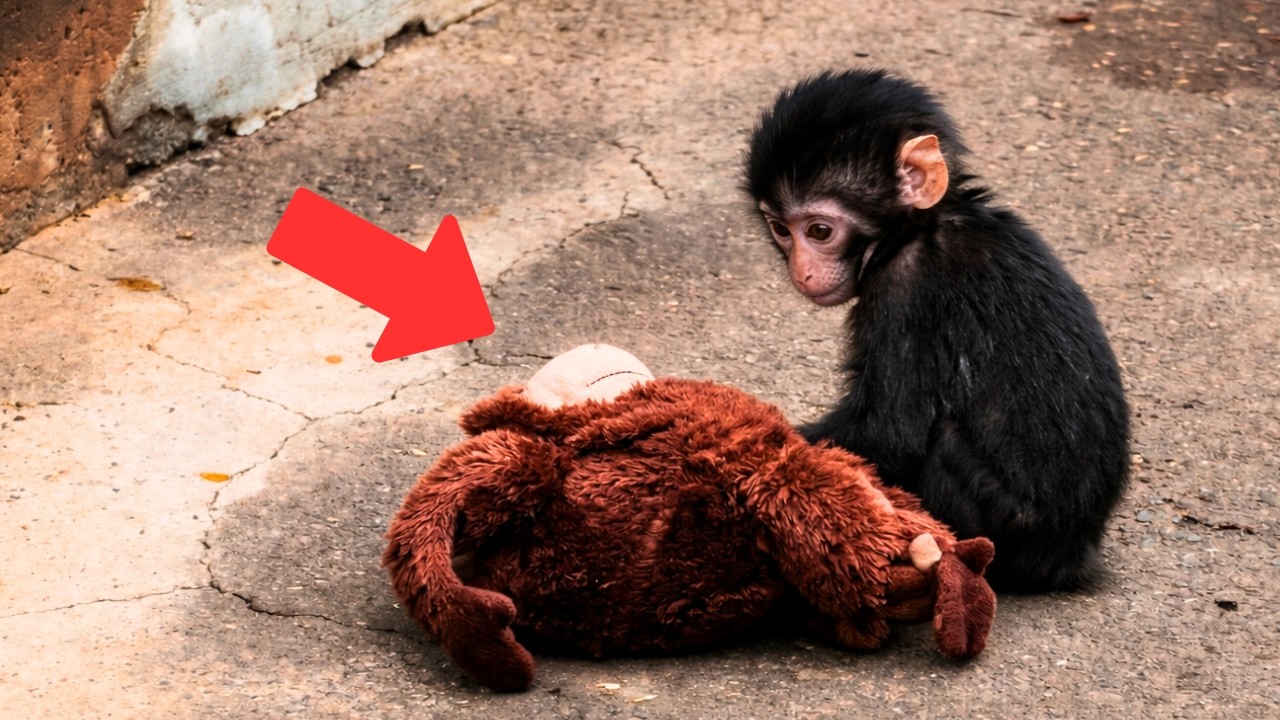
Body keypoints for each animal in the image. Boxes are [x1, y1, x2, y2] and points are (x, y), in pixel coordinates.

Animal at [743, 69, 1129, 592]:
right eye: (781, 229)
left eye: (819, 231)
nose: (801, 271)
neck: (923, 226)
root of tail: (1074, 553)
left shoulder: (906, 289)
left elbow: (890, 432)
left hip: (1013, 525)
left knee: (942, 444)